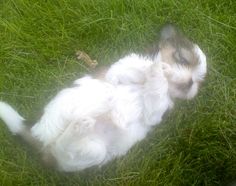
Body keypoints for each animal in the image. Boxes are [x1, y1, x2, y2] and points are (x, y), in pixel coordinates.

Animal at [0, 24, 206, 171]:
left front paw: (159, 73)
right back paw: (101, 105)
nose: (190, 84)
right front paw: (159, 68)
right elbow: (138, 68)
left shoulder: (154, 113)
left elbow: (155, 95)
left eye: (198, 80)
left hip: (93, 152)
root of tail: (39, 138)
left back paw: (85, 124)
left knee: (65, 146)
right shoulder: (117, 71)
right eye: (182, 59)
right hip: (63, 108)